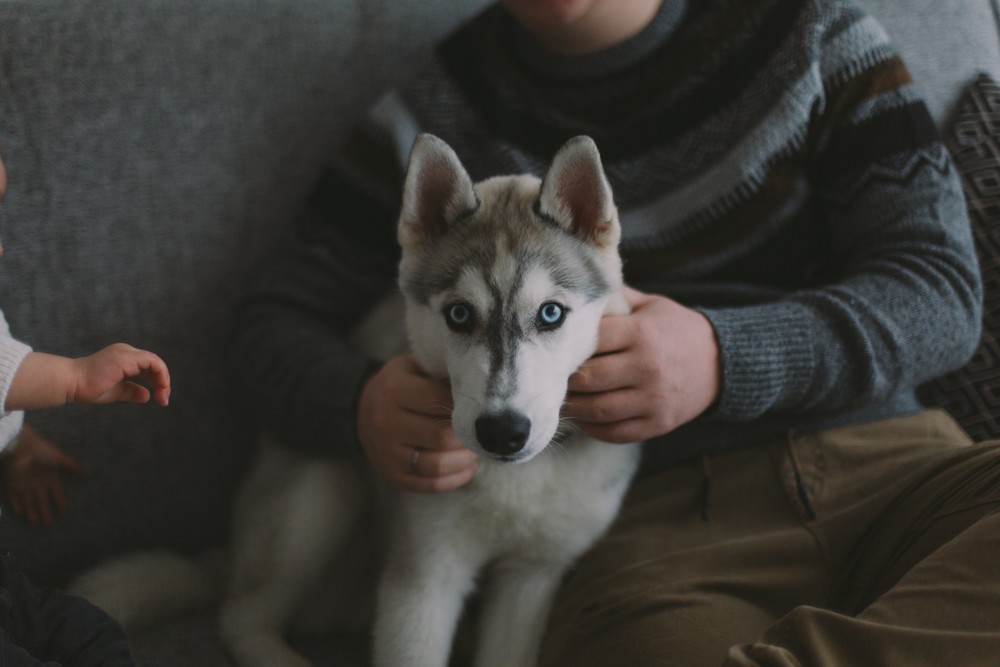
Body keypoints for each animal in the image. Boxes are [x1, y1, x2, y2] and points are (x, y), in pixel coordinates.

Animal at [74, 133, 644, 664]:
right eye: (459, 315)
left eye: (551, 314)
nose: (503, 432)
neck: (515, 482)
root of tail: (232, 557)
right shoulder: (423, 580)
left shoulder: (531, 580)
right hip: (324, 489)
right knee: (240, 616)